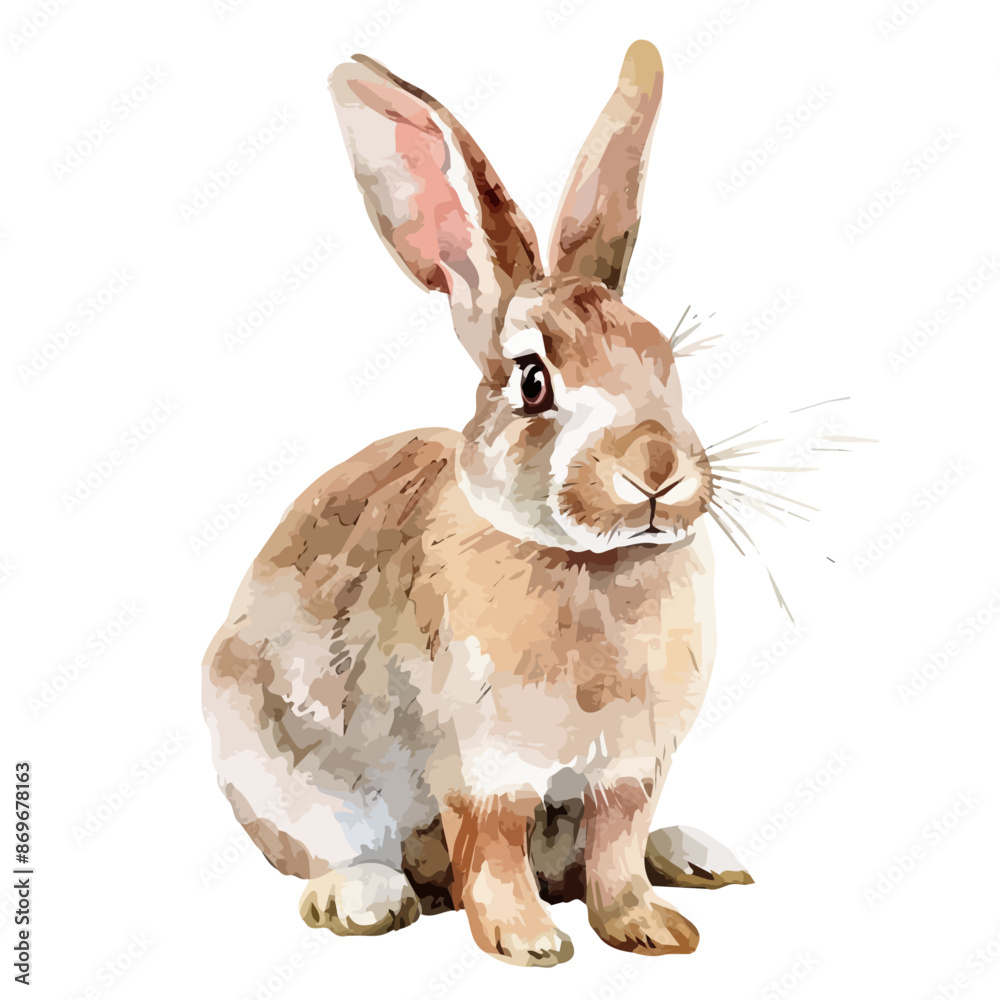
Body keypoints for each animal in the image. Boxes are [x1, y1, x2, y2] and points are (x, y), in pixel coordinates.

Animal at [202, 39, 751, 968]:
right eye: (533, 381)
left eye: (665, 362)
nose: (656, 468)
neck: (588, 565)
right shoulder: (484, 766)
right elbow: (491, 850)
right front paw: (529, 945)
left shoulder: (629, 769)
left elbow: (615, 852)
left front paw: (652, 931)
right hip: (273, 769)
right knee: (338, 856)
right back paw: (366, 899)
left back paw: (698, 856)